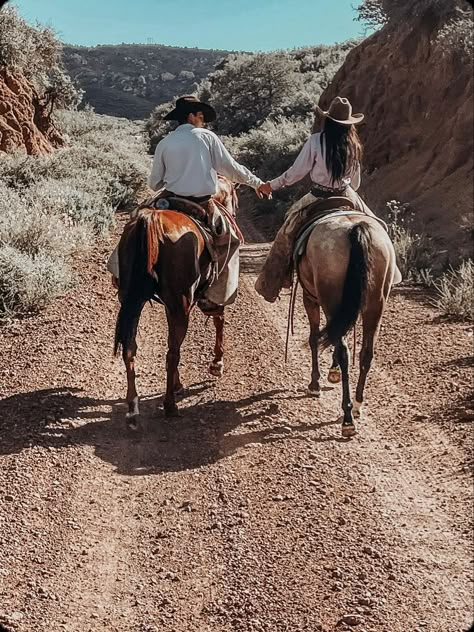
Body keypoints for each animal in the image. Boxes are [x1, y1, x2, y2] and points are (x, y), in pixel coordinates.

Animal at [113, 178, 235, 428]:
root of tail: (151, 220)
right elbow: (219, 319)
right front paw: (217, 363)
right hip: (180, 306)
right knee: (172, 352)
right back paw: (170, 405)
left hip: (132, 301)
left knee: (130, 347)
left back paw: (132, 408)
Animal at [296, 212, 400, 434]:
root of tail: (356, 229)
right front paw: (332, 372)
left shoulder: (310, 298)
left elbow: (314, 338)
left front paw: (315, 383)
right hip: (375, 305)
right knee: (366, 353)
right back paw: (358, 404)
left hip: (330, 299)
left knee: (344, 351)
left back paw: (347, 416)